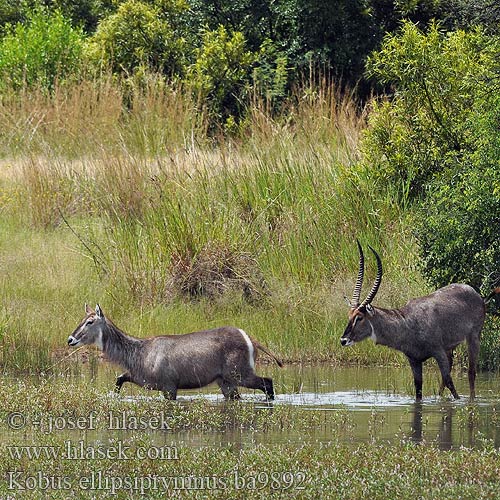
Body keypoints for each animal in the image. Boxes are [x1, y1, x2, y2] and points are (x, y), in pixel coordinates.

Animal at [68, 302, 284, 400]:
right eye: (81, 319)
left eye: (90, 321)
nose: (70, 339)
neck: (139, 353)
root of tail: (250, 338)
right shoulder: (141, 379)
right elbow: (119, 378)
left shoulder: (169, 386)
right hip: (226, 382)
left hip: (240, 374)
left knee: (268, 382)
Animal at [342, 240, 486, 400]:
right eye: (349, 315)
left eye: (359, 317)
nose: (343, 340)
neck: (407, 323)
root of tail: (475, 293)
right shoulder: (414, 361)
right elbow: (418, 389)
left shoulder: (438, 352)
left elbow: (450, 382)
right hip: (450, 348)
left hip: (473, 338)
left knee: (471, 373)